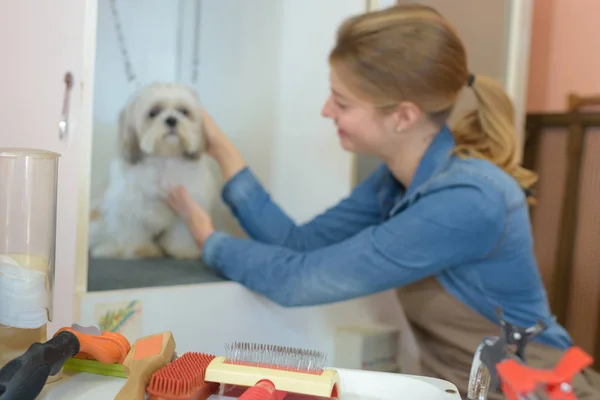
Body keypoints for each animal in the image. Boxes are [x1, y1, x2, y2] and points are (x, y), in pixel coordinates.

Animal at [89, 83, 220, 260]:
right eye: (153, 112)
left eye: (184, 111)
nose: (171, 120)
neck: (163, 159)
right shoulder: (128, 203)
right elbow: (133, 229)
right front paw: (142, 249)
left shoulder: (188, 203)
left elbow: (182, 231)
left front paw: (183, 250)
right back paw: (106, 249)